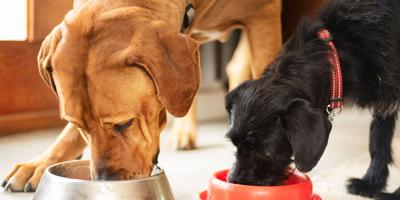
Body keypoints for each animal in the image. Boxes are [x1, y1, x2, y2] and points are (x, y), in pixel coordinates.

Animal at [225, 0, 400, 198]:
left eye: (265, 152)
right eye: (235, 144)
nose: (233, 181)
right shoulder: (384, 99)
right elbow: (378, 140)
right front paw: (370, 184)